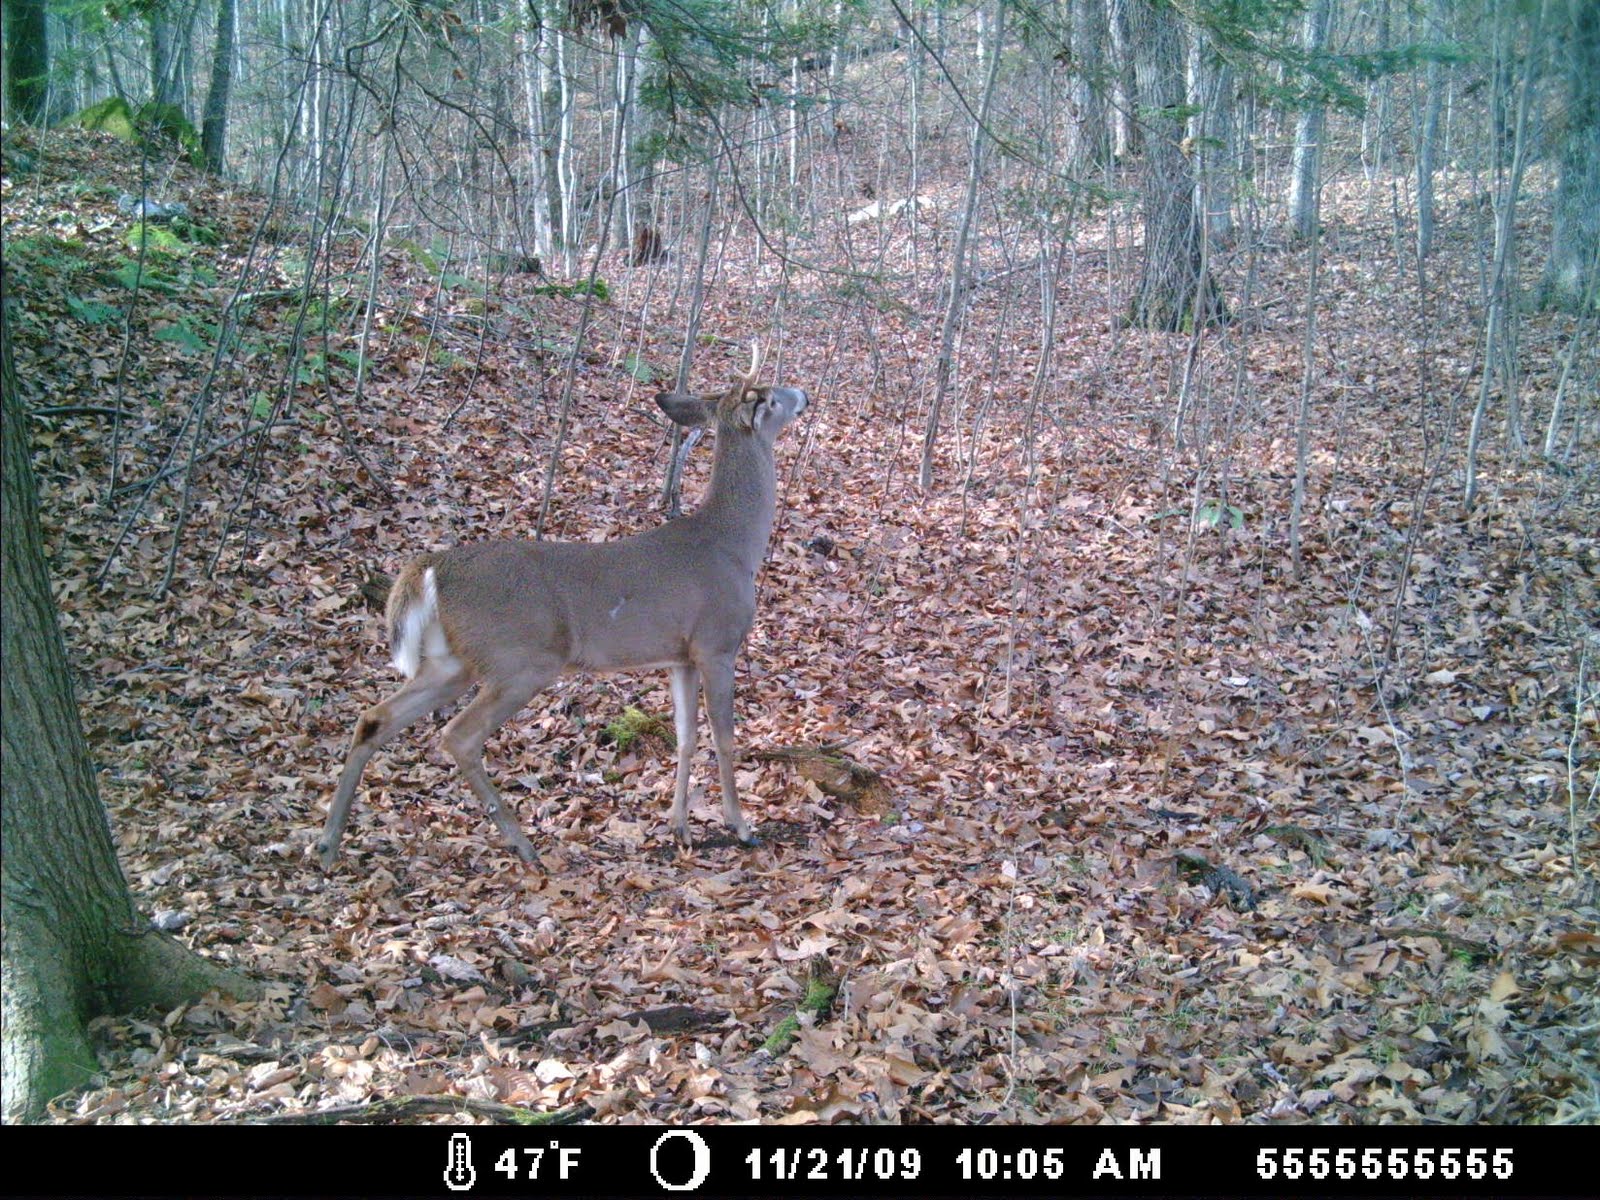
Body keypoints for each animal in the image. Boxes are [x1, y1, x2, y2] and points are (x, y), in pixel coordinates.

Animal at [316, 344, 810, 870]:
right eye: (769, 397)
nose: (803, 394)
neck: (734, 545)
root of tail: (432, 567)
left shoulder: (681, 654)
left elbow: (685, 736)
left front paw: (680, 828)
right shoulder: (718, 643)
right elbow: (724, 737)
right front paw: (741, 826)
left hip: (453, 661)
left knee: (375, 718)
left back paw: (327, 843)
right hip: (521, 659)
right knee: (458, 735)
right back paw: (522, 843)